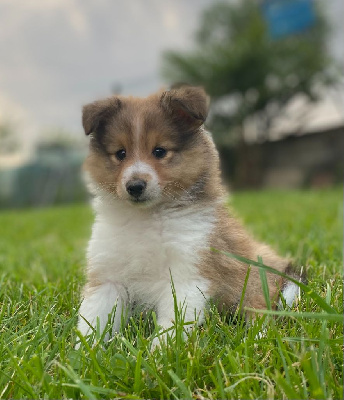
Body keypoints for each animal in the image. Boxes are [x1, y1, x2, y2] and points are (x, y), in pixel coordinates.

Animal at [76, 85, 300, 346]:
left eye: (159, 151)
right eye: (120, 153)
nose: (135, 186)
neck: (147, 217)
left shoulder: (187, 275)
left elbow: (172, 325)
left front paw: (158, 353)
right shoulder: (108, 277)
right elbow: (94, 319)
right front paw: (82, 351)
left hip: (257, 282)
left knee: (261, 315)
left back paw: (256, 340)